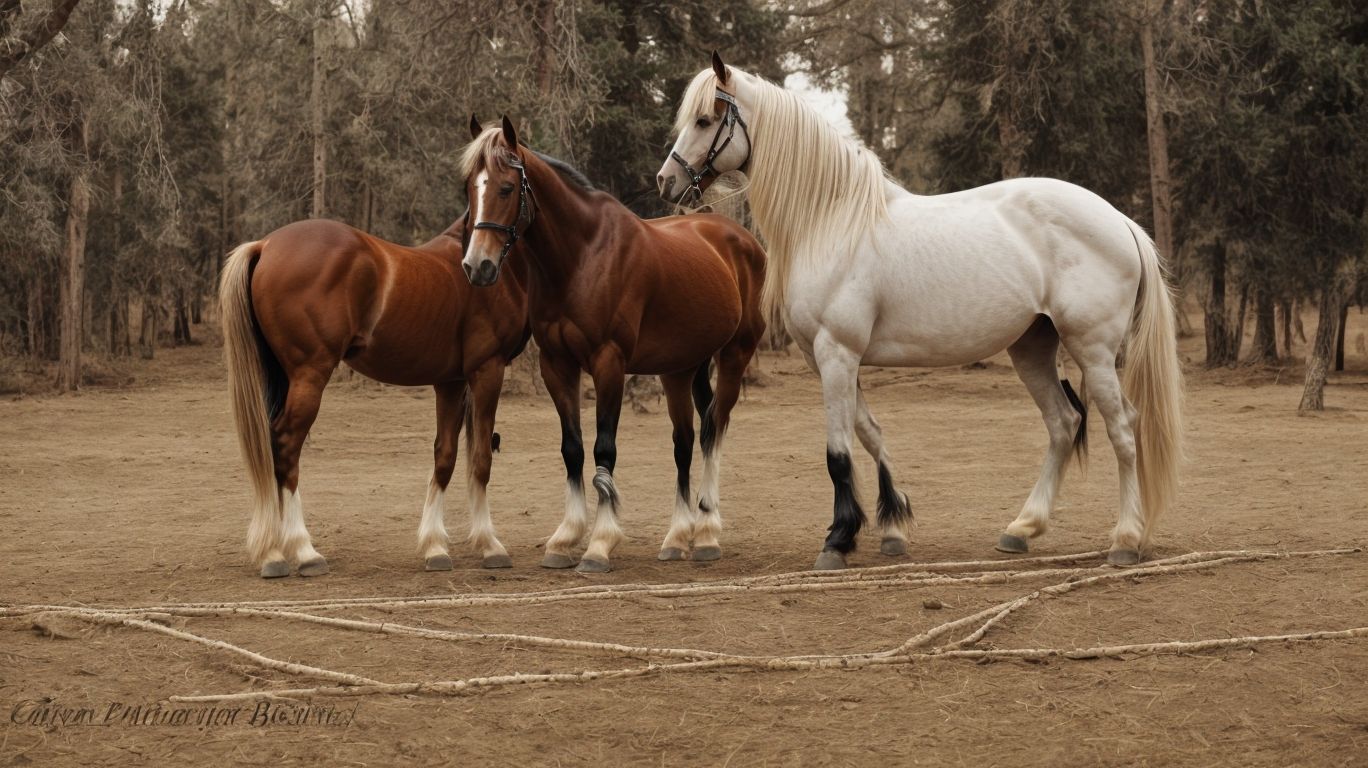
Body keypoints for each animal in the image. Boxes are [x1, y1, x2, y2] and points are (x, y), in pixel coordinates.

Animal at [218, 215, 529, 578]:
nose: (480, 268)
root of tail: (265, 245)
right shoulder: (488, 370)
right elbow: (480, 458)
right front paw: (489, 544)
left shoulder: (451, 381)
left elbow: (446, 456)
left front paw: (436, 546)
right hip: (308, 376)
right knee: (286, 448)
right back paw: (302, 551)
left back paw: (275, 550)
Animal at [460, 116, 766, 573]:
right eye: (469, 187)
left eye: (506, 188)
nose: (477, 266)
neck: (582, 257)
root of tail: (739, 237)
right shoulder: (557, 365)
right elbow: (572, 449)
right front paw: (565, 538)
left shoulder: (609, 364)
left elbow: (605, 449)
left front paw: (600, 544)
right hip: (679, 369)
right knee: (684, 443)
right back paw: (678, 537)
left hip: (734, 356)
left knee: (714, 430)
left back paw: (708, 533)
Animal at [658, 53, 1183, 570]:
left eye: (704, 119)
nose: (667, 181)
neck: (833, 220)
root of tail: (1120, 221)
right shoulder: (833, 358)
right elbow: (869, 433)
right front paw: (892, 526)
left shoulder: (836, 353)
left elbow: (838, 451)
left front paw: (837, 540)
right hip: (1032, 348)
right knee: (1064, 423)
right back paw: (1023, 528)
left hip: (1092, 351)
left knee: (1122, 429)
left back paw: (1125, 539)